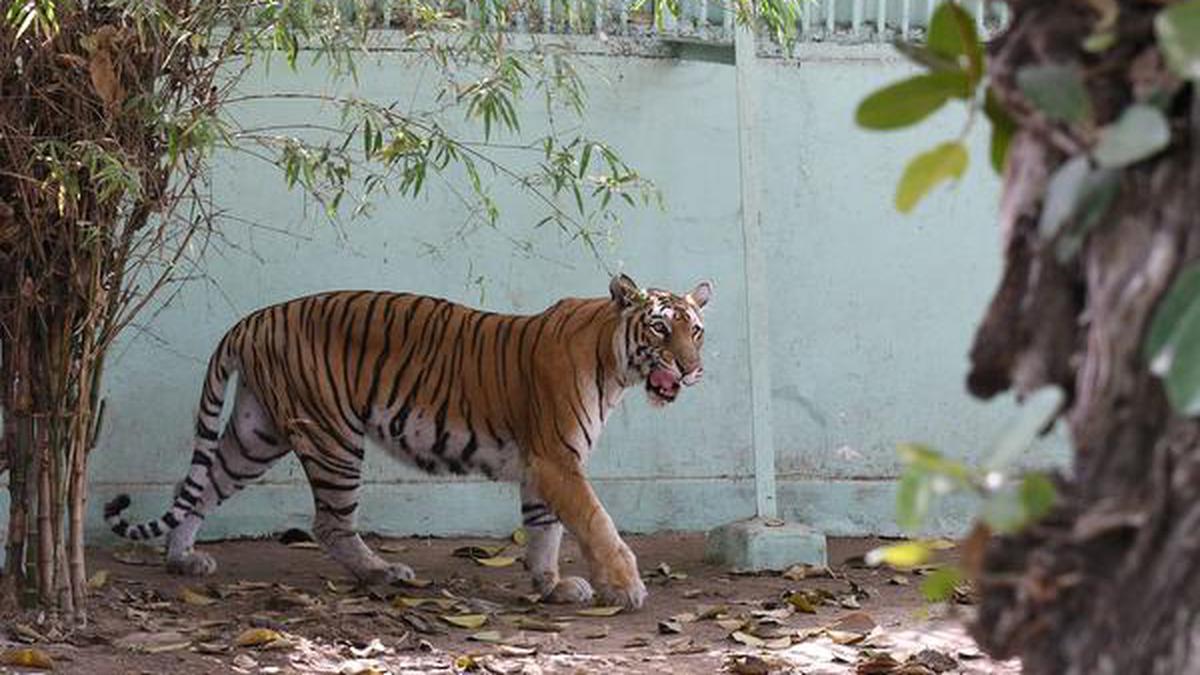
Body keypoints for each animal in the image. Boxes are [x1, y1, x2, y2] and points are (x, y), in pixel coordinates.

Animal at [105, 270, 710, 607]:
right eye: (660, 328)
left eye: (696, 331)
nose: (691, 369)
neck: (614, 365)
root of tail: (253, 319)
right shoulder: (557, 458)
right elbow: (595, 523)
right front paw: (624, 587)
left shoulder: (541, 466)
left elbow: (544, 531)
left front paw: (550, 587)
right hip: (332, 437)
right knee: (329, 524)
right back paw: (381, 571)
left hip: (256, 435)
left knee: (199, 487)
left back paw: (183, 560)